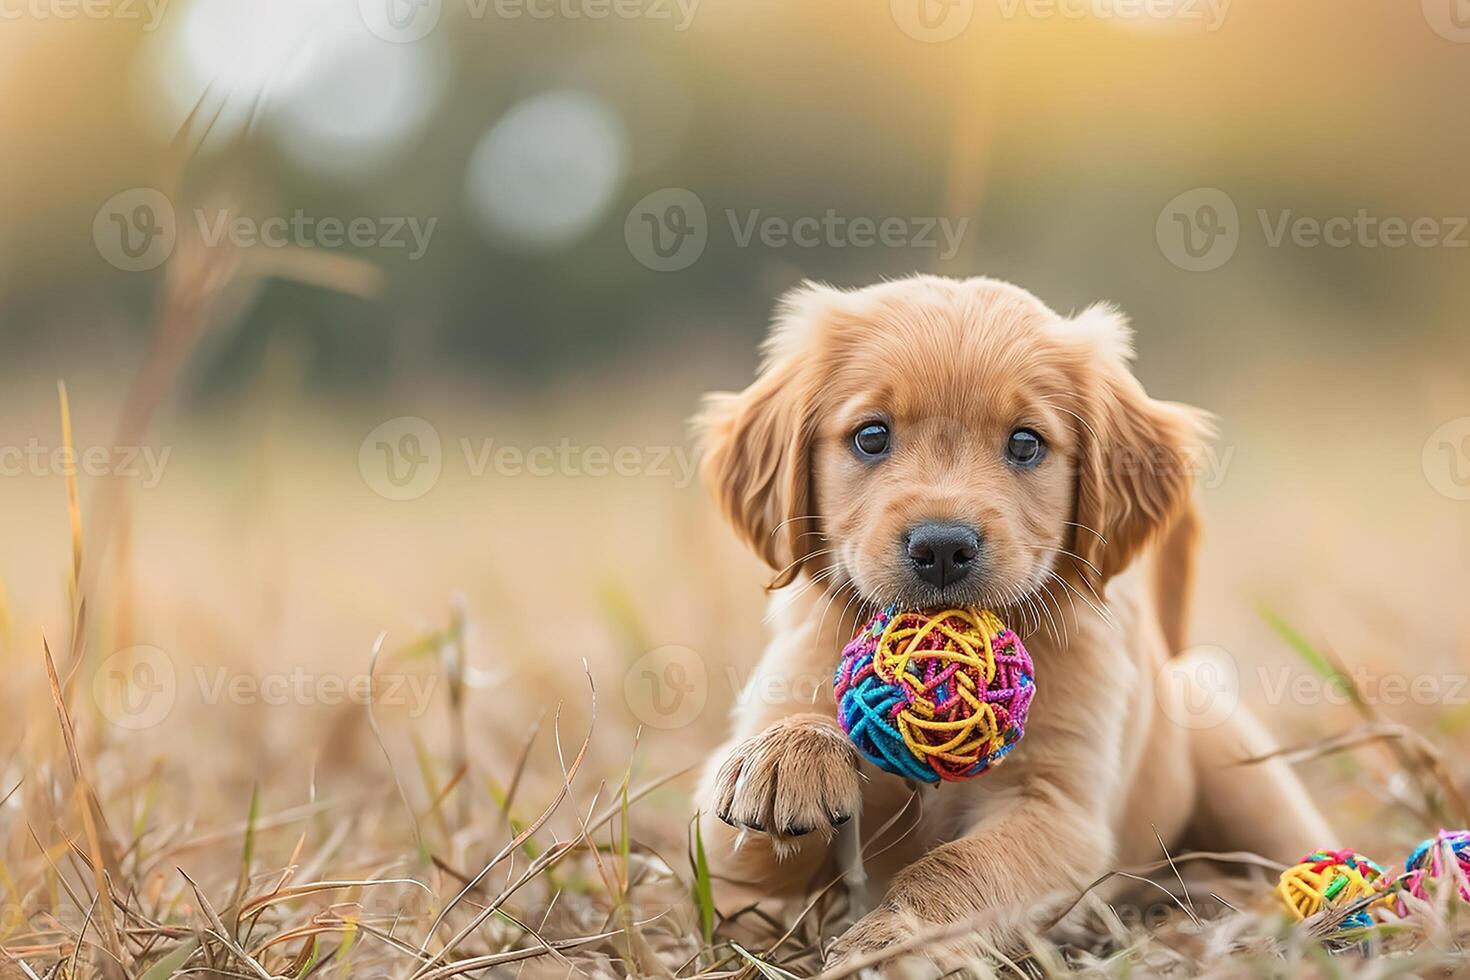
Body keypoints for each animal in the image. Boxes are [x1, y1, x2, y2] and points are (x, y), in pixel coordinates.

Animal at [687, 276, 1334, 963]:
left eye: (1025, 443)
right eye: (871, 436)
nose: (942, 547)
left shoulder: (1058, 809)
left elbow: (962, 868)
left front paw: (898, 938)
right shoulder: (727, 864)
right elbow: (747, 848)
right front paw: (788, 753)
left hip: (1242, 774)